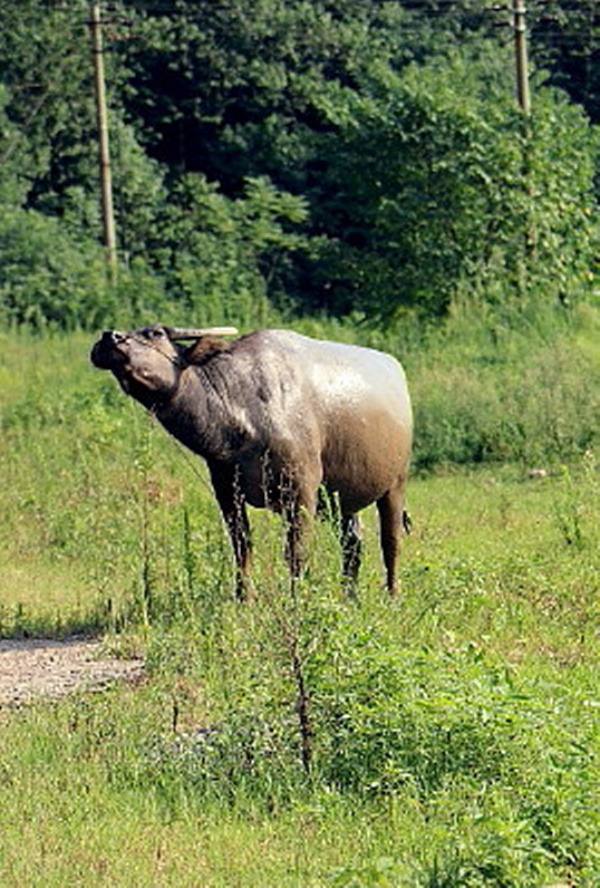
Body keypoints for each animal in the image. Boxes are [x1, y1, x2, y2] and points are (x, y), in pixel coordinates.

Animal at [91, 324, 412, 596]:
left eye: (155, 332)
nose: (109, 337)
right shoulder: (227, 492)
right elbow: (242, 546)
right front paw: (244, 597)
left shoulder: (301, 491)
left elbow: (296, 553)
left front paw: (298, 600)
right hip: (341, 500)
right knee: (353, 545)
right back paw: (349, 596)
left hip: (395, 484)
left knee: (390, 541)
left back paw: (392, 595)